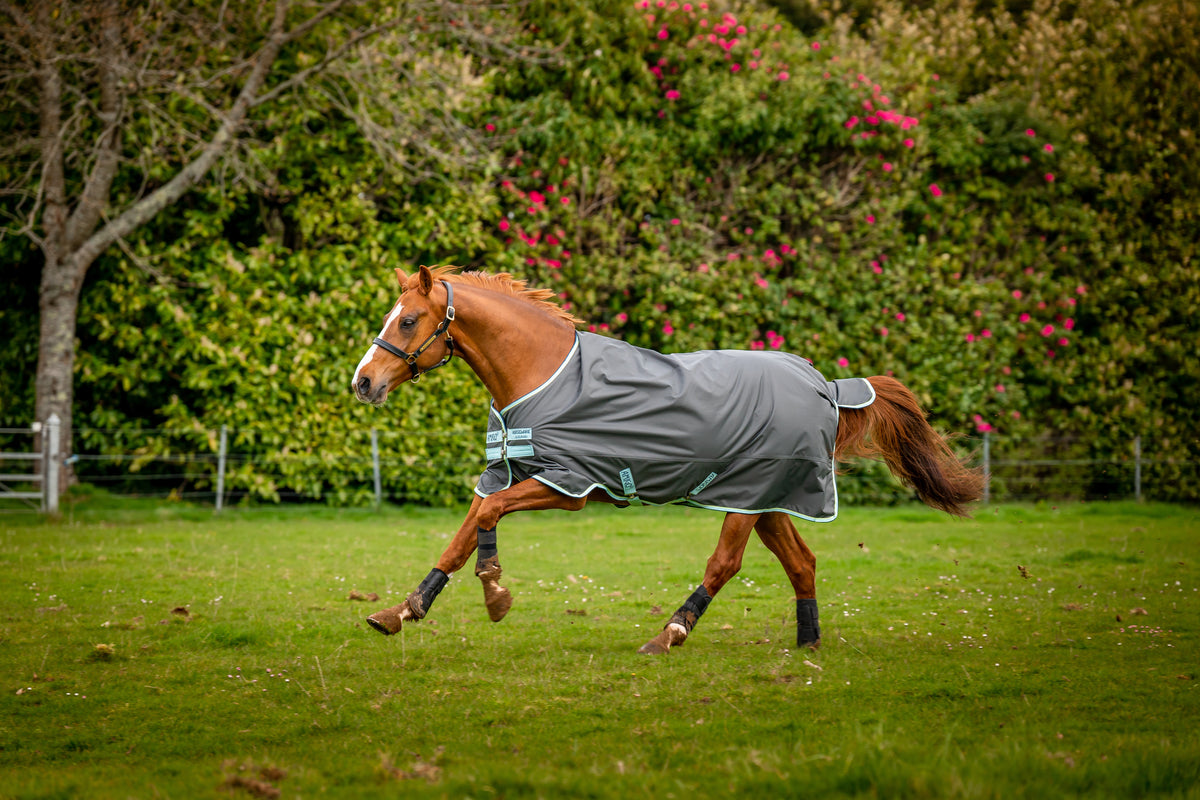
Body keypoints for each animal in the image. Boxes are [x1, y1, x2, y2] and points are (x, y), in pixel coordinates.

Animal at [352, 265, 983, 654]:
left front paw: (496, 596)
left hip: (745, 500)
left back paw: (669, 634)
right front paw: (401, 611)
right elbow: (461, 536)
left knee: (724, 564)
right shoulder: (507, 472)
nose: (363, 382)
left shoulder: (566, 485)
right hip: (768, 500)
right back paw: (809, 644)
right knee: (801, 564)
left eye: (407, 320)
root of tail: (826, 384)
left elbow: (485, 520)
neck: (542, 372)